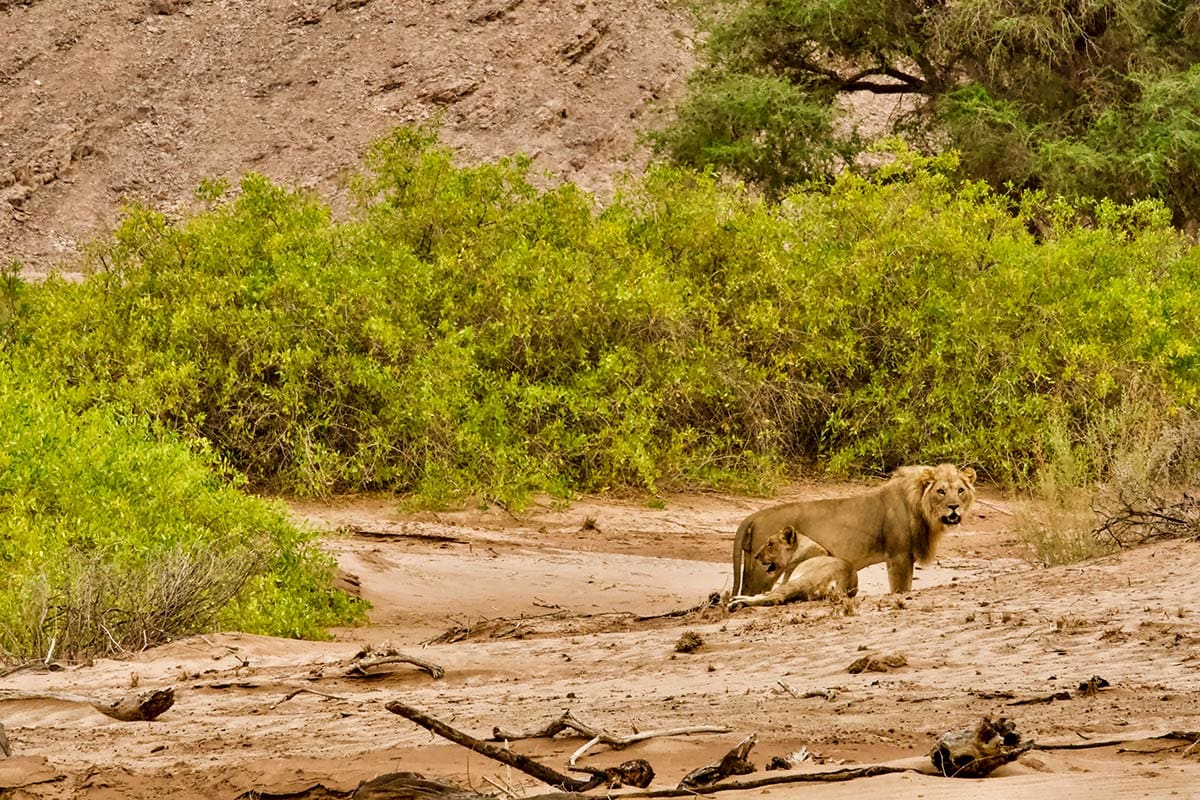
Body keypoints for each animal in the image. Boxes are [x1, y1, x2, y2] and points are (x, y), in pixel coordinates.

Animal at [730, 463, 977, 597]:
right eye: (941, 491)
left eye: (960, 490)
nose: (954, 507)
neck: (921, 508)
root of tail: (753, 516)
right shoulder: (898, 556)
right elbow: (900, 588)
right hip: (763, 571)